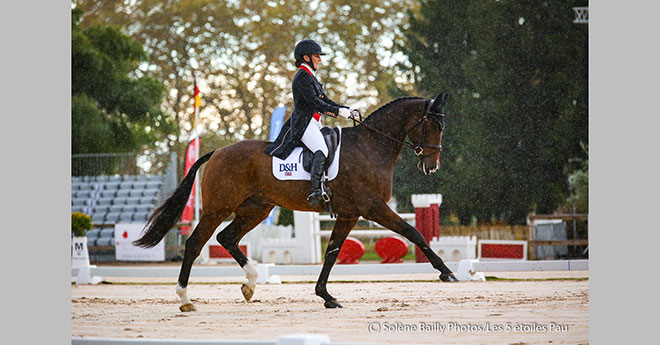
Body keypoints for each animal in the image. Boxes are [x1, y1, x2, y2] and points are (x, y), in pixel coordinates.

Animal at [131, 90, 456, 310]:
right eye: (434, 126)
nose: (432, 166)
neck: (370, 146)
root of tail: (218, 152)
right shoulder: (372, 208)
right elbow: (413, 232)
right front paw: (447, 272)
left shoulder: (349, 214)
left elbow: (332, 252)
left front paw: (326, 296)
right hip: (217, 209)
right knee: (195, 244)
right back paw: (185, 298)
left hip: (256, 209)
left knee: (227, 238)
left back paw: (250, 283)